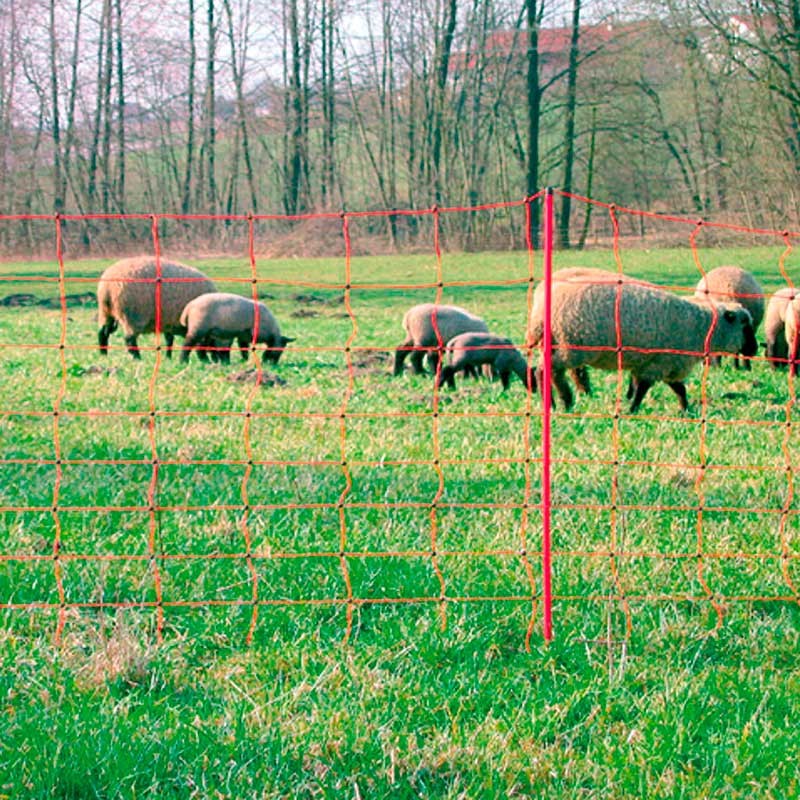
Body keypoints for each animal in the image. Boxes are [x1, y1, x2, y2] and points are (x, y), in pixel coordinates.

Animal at [526, 276, 757, 413]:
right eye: (745, 325)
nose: (754, 350)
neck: (701, 327)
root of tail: (539, 314)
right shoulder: (661, 363)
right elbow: (644, 390)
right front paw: (633, 410)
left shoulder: (665, 365)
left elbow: (679, 389)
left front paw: (685, 409)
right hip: (570, 346)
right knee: (544, 371)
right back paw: (555, 404)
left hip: (561, 345)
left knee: (553, 373)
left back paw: (563, 402)